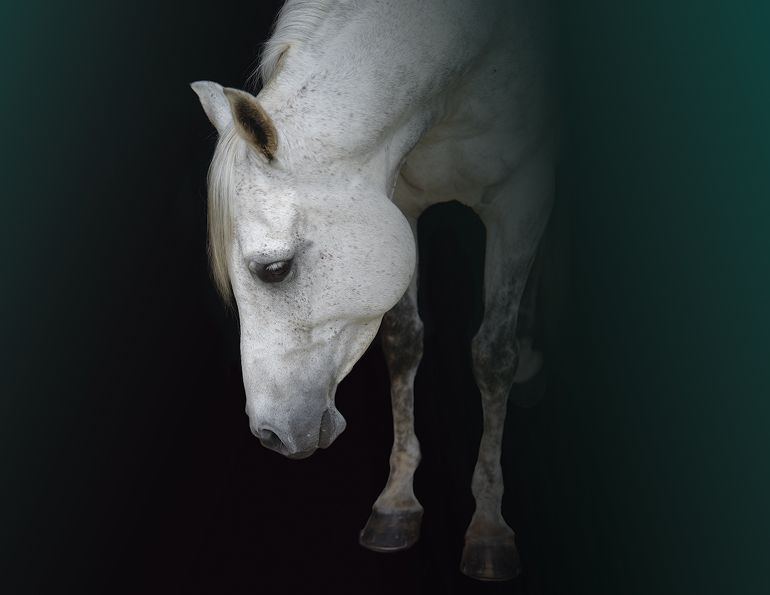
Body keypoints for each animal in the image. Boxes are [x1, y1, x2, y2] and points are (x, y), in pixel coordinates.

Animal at [191, 0, 554, 581]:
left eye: (275, 269)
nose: (270, 434)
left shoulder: (522, 202)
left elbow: (493, 355)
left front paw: (490, 527)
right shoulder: (397, 203)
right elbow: (404, 340)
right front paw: (397, 503)